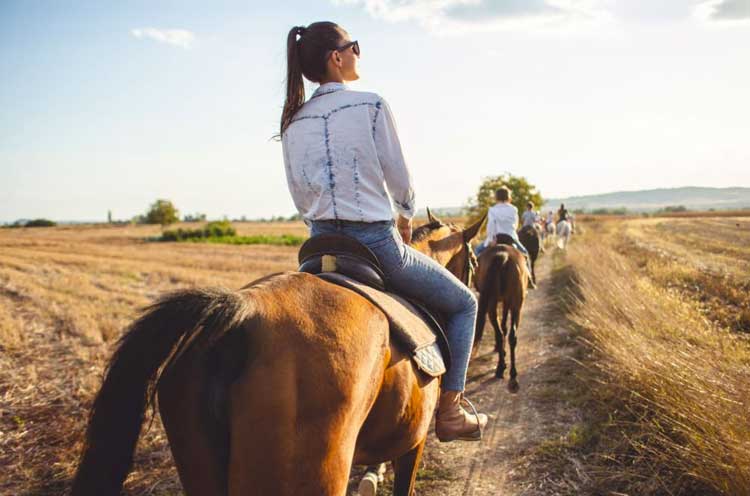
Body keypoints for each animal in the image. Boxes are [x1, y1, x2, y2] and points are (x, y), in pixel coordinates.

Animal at [473, 235, 530, 392]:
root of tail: (503, 256)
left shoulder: (504, 302)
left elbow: (503, 327)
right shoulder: (506, 302)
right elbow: (504, 326)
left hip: (496, 303)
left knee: (502, 333)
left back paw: (505, 370)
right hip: (515, 305)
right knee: (510, 335)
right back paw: (509, 374)